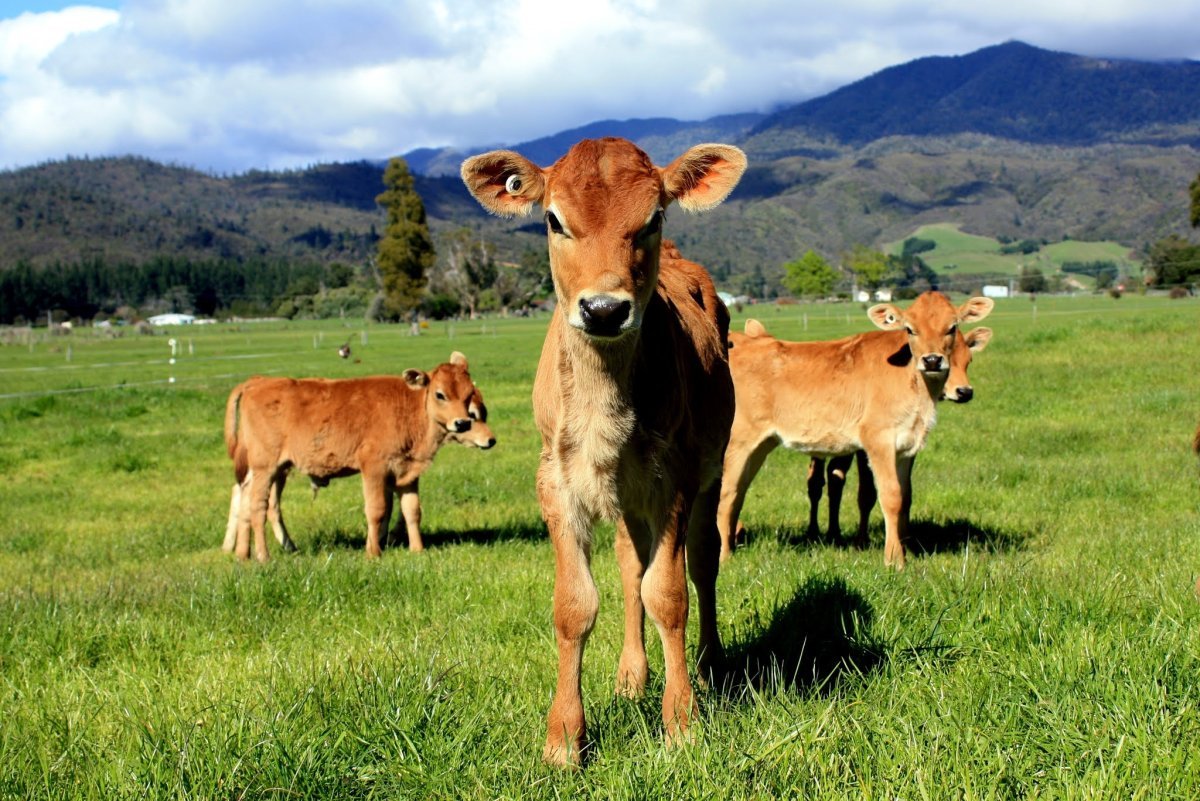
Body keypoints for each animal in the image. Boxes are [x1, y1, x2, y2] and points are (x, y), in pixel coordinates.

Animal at [223, 352, 492, 561]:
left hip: (269, 470)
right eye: (440, 394)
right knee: (259, 506)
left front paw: (417, 549)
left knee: (247, 502)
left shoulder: (407, 472)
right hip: (265, 468)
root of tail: (257, 382)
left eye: (468, 394)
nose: (462, 423)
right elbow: (377, 509)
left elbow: (412, 510)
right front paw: (373, 552)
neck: (409, 406)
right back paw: (263, 556)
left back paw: (243, 555)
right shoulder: (374, 468)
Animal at [461, 137, 745, 766]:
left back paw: (710, 665)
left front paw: (681, 722)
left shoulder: (674, 480)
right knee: (628, 566)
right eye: (553, 219)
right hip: (624, 500)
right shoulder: (557, 481)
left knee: (703, 563)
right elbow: (576, 604)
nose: (604, 309)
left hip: (709, 472)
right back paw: (631, 675)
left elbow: (668, 594)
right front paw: (565, 738)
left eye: (653, 218)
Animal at [717, 291, 994, 569]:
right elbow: (890, 496)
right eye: (910, 329)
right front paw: (894, 559)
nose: (933, 360)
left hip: (761, 445)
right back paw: (724, 555)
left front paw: (907, 550)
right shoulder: (878, 441)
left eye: (952, 327)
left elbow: (905, 497)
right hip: (738, 443)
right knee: (726, 495)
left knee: (738, 493)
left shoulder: (906, 447)